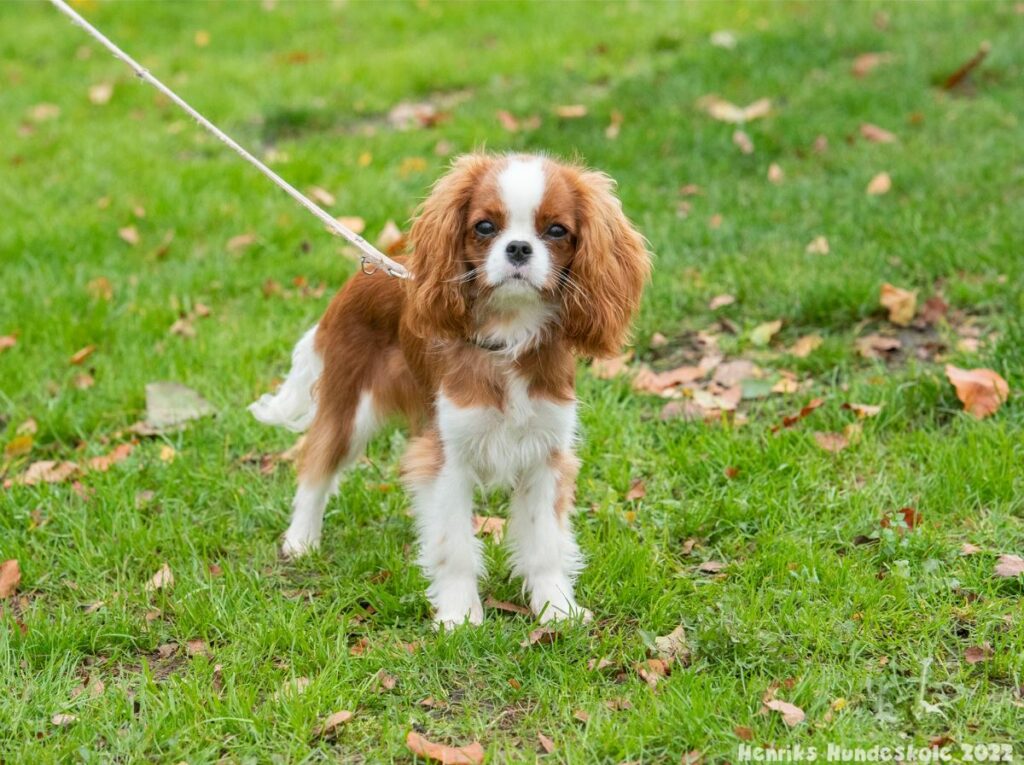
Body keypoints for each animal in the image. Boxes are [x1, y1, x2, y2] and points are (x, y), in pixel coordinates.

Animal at [249, 152, 647, 626]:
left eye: (556, 231)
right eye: (484, 227)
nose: (518, 248)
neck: (507, 337)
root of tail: (367, 270)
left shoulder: (545, 455)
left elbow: (544, 545)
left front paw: (557, 609)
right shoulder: (446, 458)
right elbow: (455, 545)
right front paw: (460, 617)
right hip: (349, 408)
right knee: (317, 465)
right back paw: (301, 540)